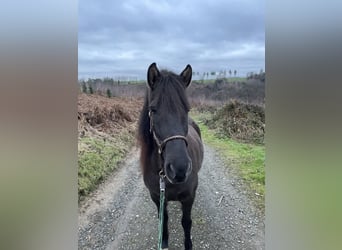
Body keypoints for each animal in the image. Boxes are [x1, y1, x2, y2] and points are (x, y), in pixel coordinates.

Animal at [138, 62, 204, 248]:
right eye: (153, 110)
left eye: (187, 109)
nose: (179, 169)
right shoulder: (156, 197)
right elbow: (163, 221)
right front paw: (164, 243)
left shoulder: (188, 197)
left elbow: (186, 222)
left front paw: (188, 245)